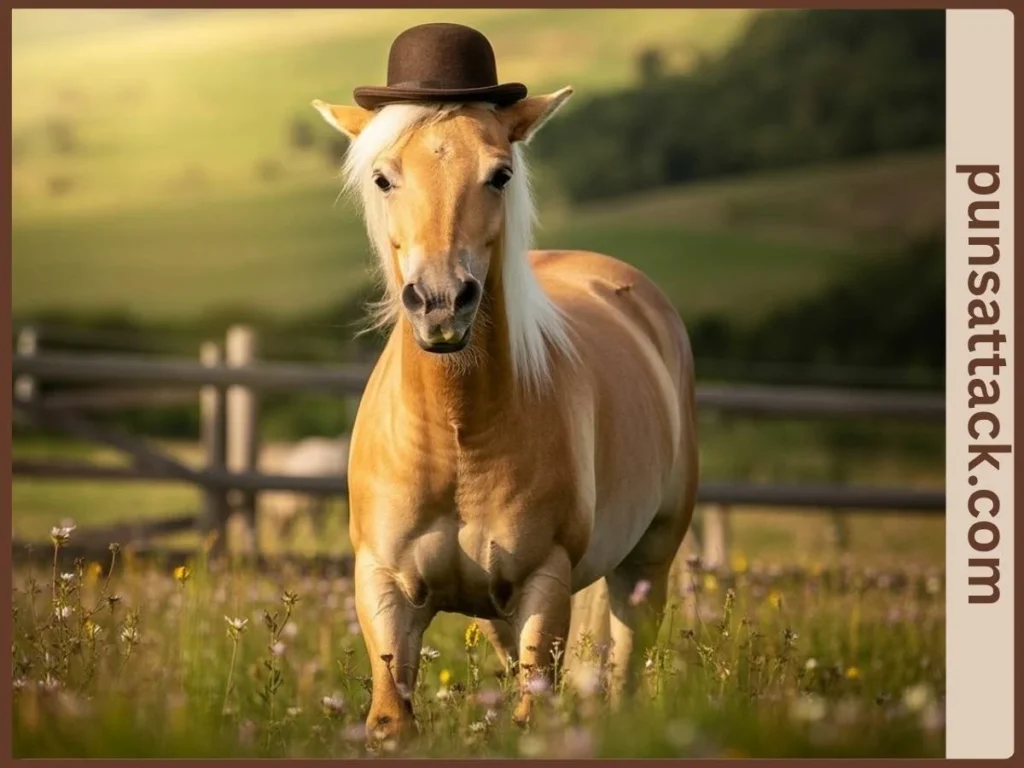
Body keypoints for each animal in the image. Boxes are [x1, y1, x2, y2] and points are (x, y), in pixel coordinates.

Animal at [313, 86, 699, 740]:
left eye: (501, 175)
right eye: (383, 178)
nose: (442, 303)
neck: (456, 433)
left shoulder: (544, 584)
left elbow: (531, 712)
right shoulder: (384, 586)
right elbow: (392, 718)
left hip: (647, 562)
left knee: (626, 664)